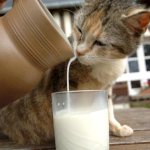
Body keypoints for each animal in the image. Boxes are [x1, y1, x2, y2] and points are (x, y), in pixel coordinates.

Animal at [0, 0, 150, 145]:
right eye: (79, 30)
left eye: (100, 43)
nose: (78, 52)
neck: (103, 63)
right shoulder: (66, 84)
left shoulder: (106, 88)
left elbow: (108, 109)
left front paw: (116, 128)